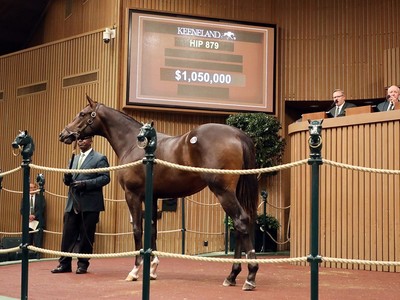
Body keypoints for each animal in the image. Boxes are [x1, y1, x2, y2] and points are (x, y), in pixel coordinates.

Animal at [58, 96, 260, 290]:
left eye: (82, 113)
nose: (64, 134)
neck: (132, 143)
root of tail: (238, 134)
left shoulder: (132, 195)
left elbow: (138, 229)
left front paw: (135, 271)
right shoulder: (153, 197)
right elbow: (152, 228)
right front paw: (153, 269)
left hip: (223, 192)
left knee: (241, 221)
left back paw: (250, 276)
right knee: (240, 225)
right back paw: (232, 276)